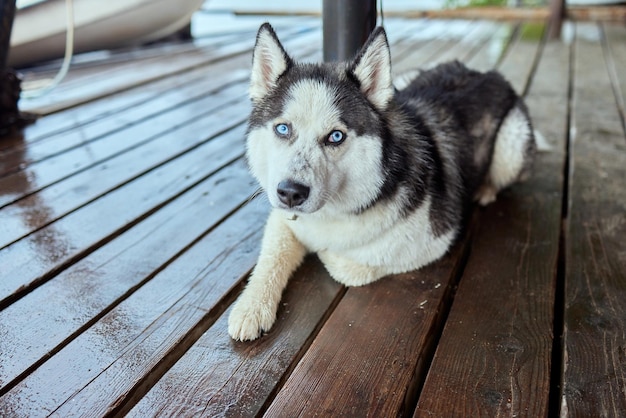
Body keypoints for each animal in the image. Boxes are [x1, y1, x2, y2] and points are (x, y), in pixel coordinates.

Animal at [227, 23, 532, 340]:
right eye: (283, 129)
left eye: (336, 136)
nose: (290, 193)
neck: (333, 211)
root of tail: (486, 73)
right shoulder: (282, 218)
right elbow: (271, 256)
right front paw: (251, 306)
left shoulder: (435, 240)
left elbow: (352, 266)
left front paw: (323, 253)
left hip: (511, 144)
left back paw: (486, 189)